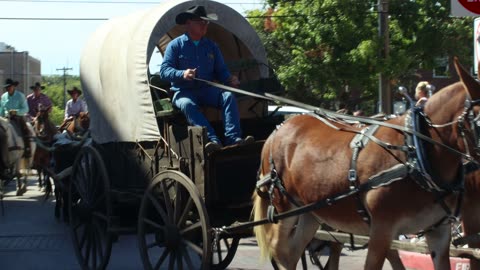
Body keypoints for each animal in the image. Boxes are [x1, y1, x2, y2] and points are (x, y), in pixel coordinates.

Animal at [253, 59, 480, 270]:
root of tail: (278, 129)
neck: (417, 153)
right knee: (280, 250)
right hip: (283, 205)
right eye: (477, 120)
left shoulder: (438, 231)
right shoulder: (382, 228)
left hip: (310, 210)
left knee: (292, 252)